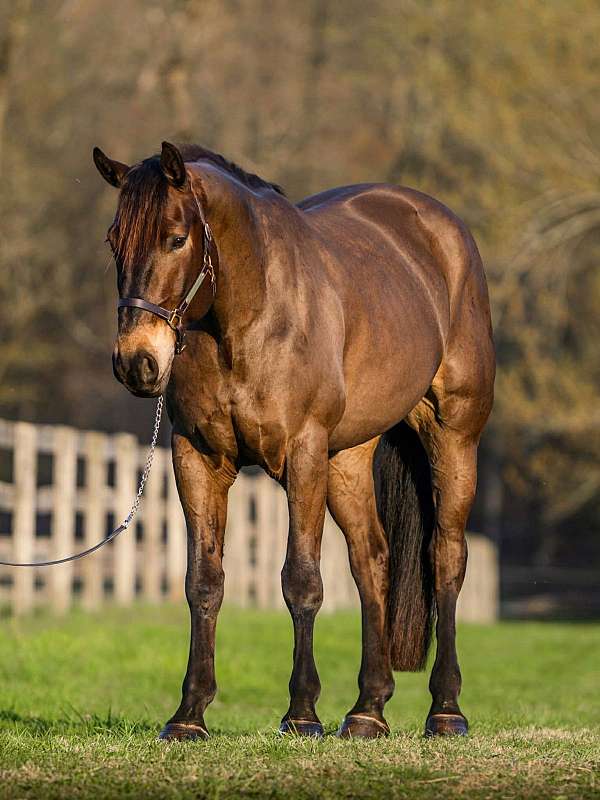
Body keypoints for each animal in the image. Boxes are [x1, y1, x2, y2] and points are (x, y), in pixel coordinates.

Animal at [93, 141, 495, 740]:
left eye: (176, 238)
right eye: (114, 240)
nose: (136, 362)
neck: (250, 319)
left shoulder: (303, 455)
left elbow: (301, 580)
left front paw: (301, 713)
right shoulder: (198, 459)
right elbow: (203, 582)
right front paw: (189, 714)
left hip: (453, 438)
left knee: (445, 556)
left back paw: (445, 710)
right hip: (347, 459)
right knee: (372, 559)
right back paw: (367, 711)